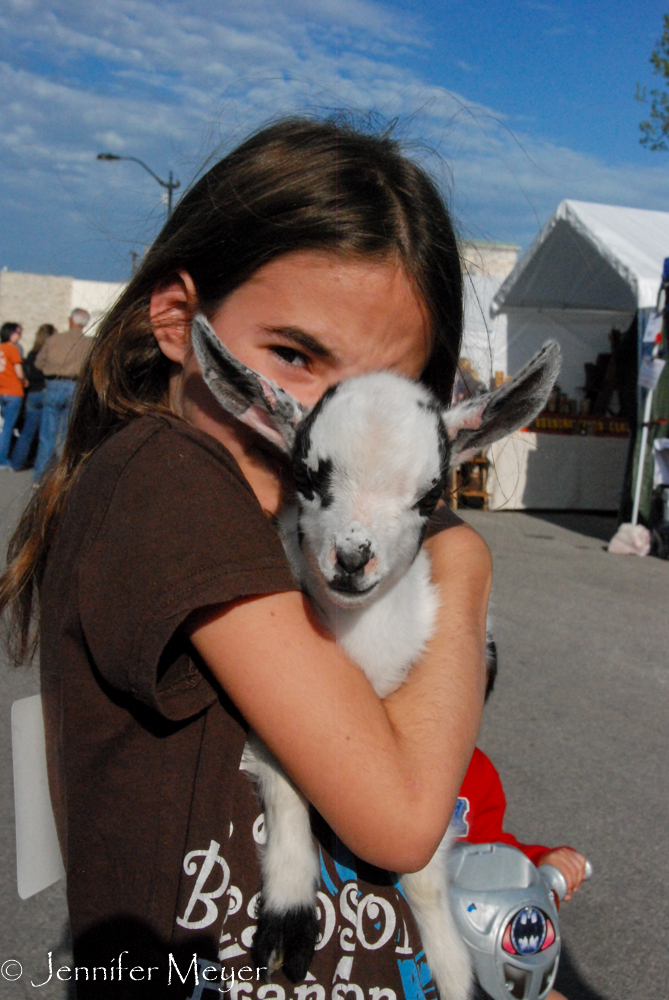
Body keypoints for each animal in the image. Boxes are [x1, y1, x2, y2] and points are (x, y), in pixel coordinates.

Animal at [192, 314, 560, 1000]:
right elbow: (287, 782)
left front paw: (451, 966)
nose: (352, 558)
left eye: (431, 497)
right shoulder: (278, 715)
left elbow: (423, 868)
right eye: (306, 476)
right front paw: (289, 913)